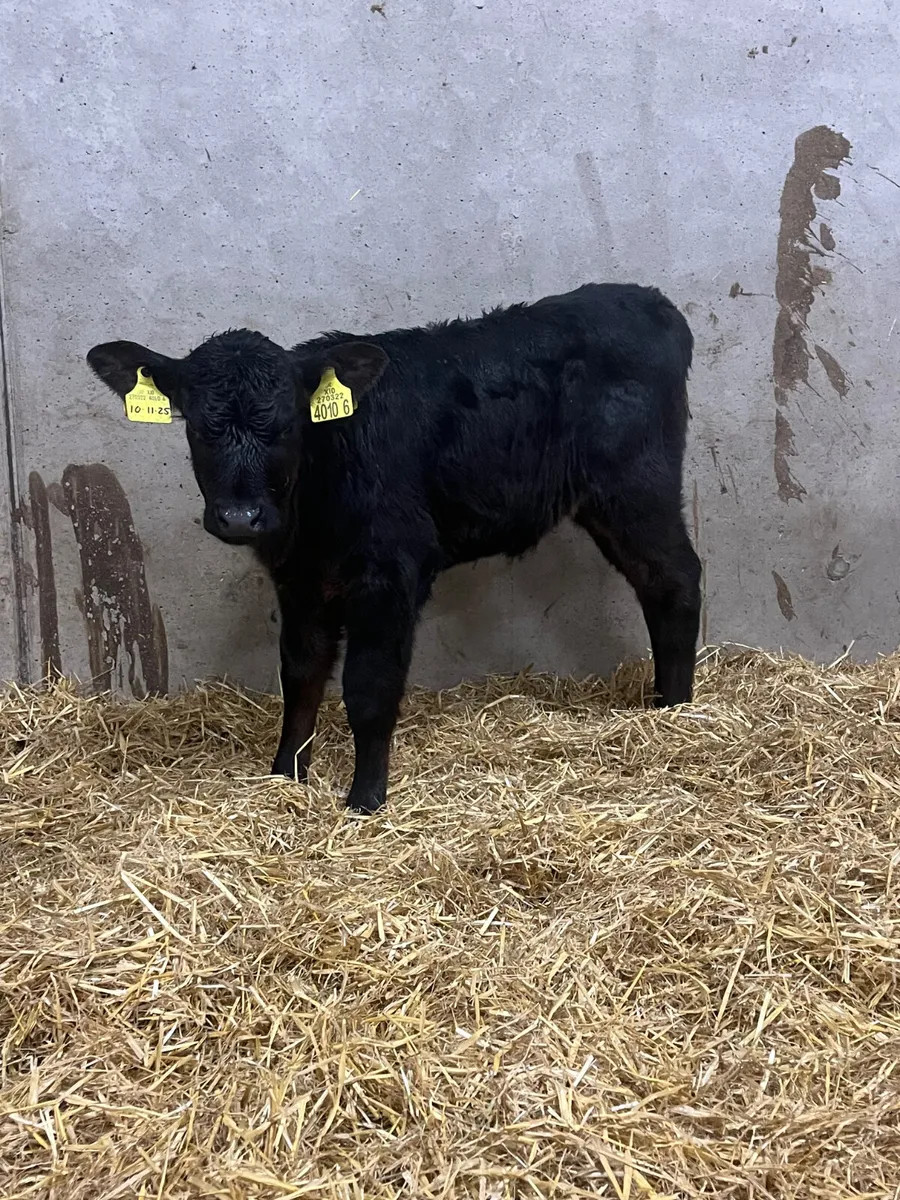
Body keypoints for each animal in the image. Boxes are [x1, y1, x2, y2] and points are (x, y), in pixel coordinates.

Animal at [87, 283, 702, 814]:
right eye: (196, 426)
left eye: (286, 424)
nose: (241, 517)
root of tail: (646, 299)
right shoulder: (299, 580)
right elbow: (301, 675)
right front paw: (285, 775)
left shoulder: (391, 573)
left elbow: (369, 686)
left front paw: (365, 799)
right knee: (656, 583)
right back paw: (664, 706)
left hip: (637, 486)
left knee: (676, 578)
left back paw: (677, 710)